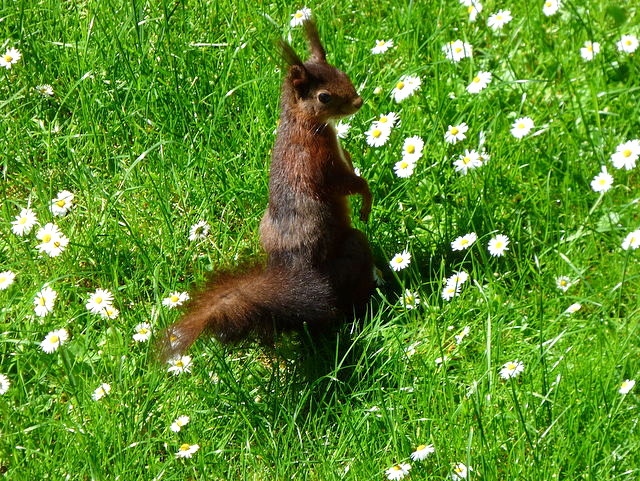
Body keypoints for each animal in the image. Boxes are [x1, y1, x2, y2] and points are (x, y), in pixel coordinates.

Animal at [158, 19, 374, 361]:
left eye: (341, 72)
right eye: (324, 97)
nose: (357, 102)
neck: (304, 123)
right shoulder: (318, 163)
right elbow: (347, 182)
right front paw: (366, 200)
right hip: (352, 251)